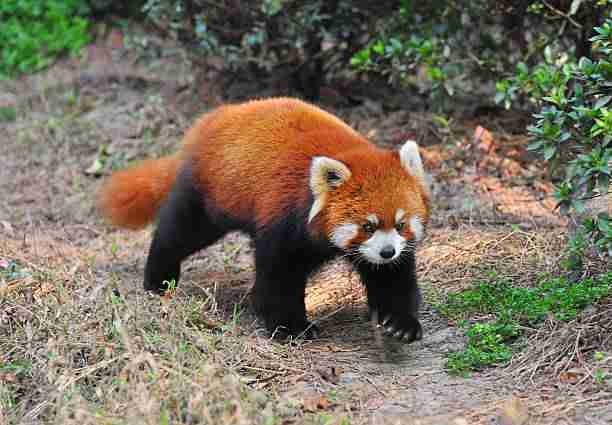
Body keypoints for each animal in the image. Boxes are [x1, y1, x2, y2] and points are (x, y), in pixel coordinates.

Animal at [98, 97, 430, 342]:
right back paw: (159, 278)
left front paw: (400, 322)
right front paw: (290, 326)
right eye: (367, 226)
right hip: (211, 194)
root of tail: (211, 120)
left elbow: (390, 278)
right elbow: (279, 274)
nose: (387, 251)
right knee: (181, 231)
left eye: (400, 224)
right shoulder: (284, 216)